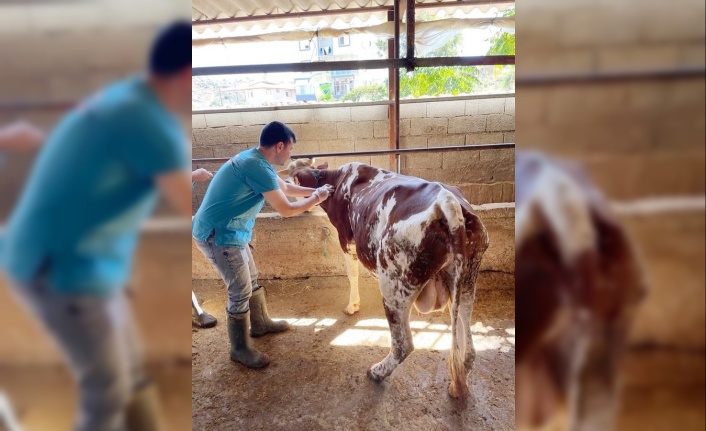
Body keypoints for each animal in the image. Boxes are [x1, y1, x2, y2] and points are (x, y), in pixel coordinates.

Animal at [284, 161, 486, 398]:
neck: (337, 180)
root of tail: (448, 201)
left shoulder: (346, 238)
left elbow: (351, 273)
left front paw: (352, 305)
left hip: (394, 283)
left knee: (402, 345)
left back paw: (377, 372)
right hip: (467, 277)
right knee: (467, 337)